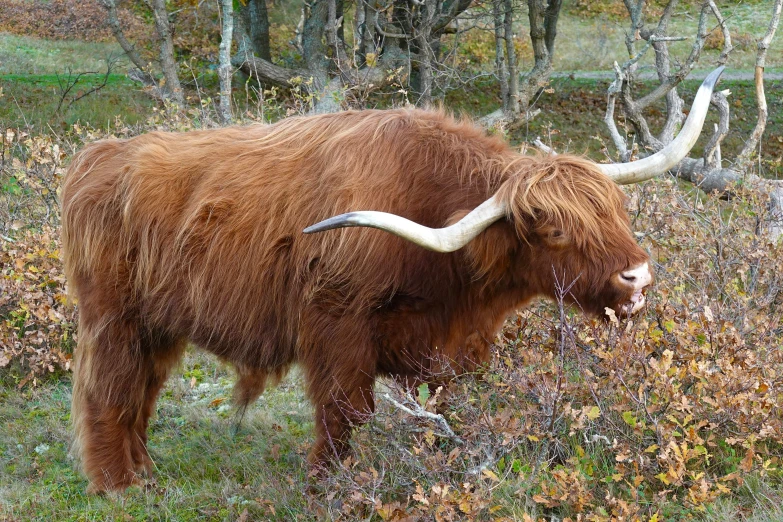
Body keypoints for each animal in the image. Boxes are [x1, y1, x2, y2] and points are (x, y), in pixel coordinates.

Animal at [59, 68, 724, 488]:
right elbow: (345, 414)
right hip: (113, 317)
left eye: (616, 208)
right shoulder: (338, 327)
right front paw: (328, 486)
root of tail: (97, 158)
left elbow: (451, 411)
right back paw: (119, 485)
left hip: (159, 326)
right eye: (554, 230)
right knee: (107, 390)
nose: (638, 276)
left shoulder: (457, 348)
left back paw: (145, 473)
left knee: (141, 391)